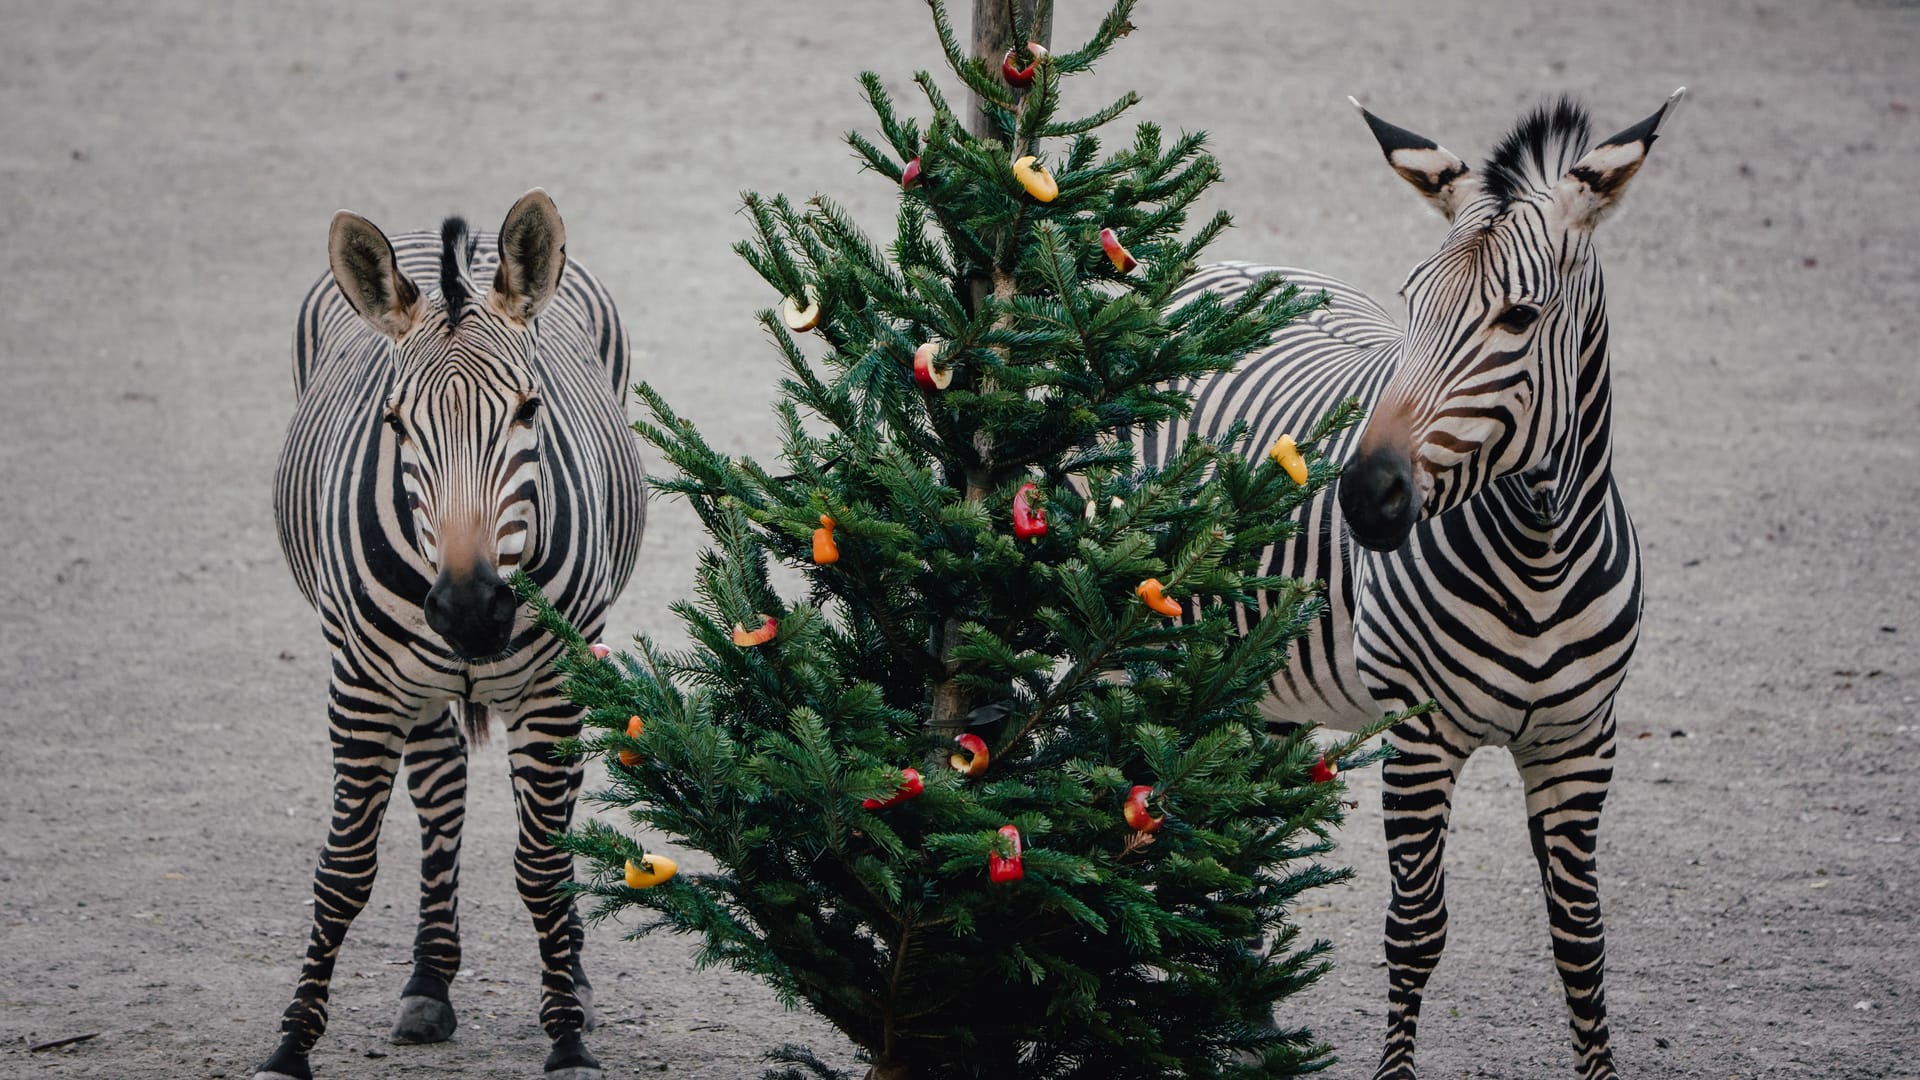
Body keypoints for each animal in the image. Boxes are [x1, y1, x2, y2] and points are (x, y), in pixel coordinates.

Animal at [255, 189, 648, 1068]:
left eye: (530, 409)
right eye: (395, 423)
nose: (471, 609)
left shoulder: (552, 687)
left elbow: (543, 864)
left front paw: (567, 1039)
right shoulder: (361, 689)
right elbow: (344, 870)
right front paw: (290, 1044)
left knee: (555, 813)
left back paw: (570, 974)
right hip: (406, 682)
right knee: (441, 791)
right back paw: (429, 980)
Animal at [1136, 94, 1681, 1076]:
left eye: (1519, 317)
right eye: (1412, 302)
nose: (1364, 495)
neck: (1539, 557)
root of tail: (1219, 265)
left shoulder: (1582, 741)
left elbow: (1580, 939)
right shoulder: (1420, 738)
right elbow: (1416, 931)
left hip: (1258, 679)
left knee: (1236, 822)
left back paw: (1251, 1021)